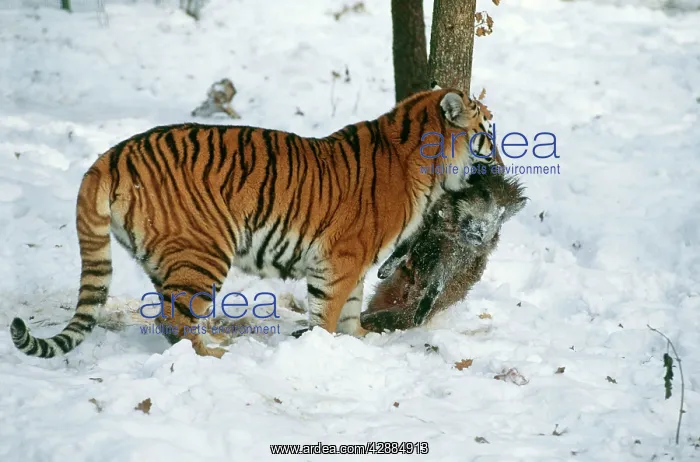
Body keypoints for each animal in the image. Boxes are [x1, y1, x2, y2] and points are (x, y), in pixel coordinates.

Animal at [10, 87, 499, 359]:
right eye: (486, 131)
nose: (499, 157)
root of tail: (110, 156)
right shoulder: (339, 260)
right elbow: (328, 313)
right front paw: (324, 350)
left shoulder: (352, 263)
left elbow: (351, 312)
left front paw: (358, 341)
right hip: (204, 251)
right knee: (174, 318)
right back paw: (212, 355)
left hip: (170, 257)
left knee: (169, 312)